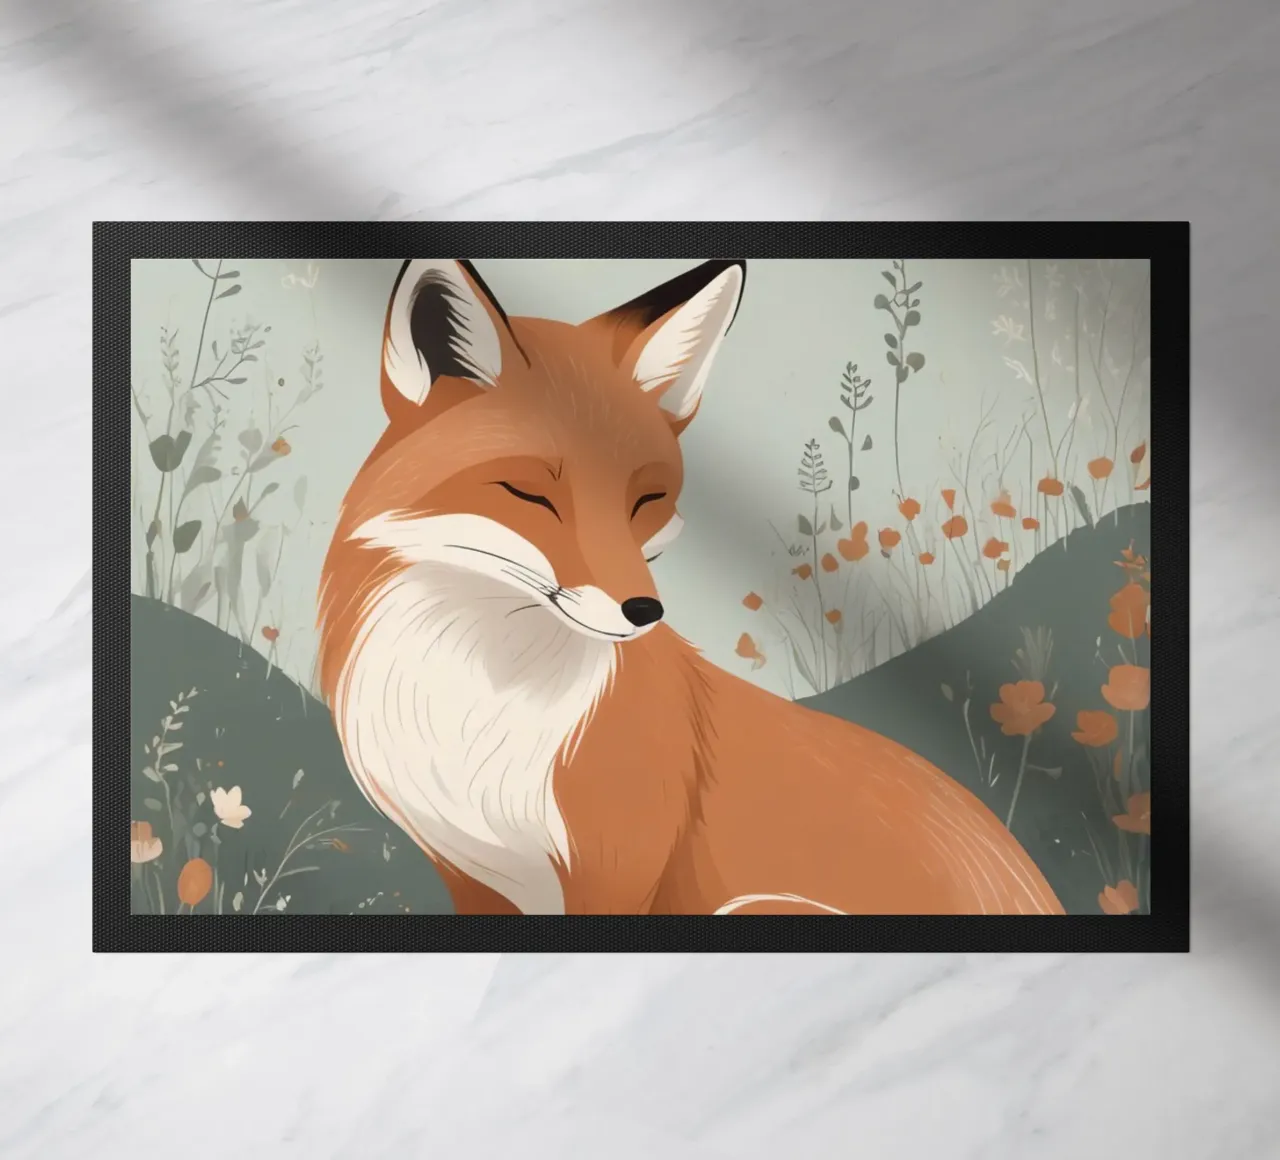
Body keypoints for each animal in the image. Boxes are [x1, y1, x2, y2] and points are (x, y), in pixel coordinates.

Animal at [317, 258, 1065, 917]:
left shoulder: (614, 874)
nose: (644, 610)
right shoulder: (474, 879)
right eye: (530, 493)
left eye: (646, 499)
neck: (479, 706)